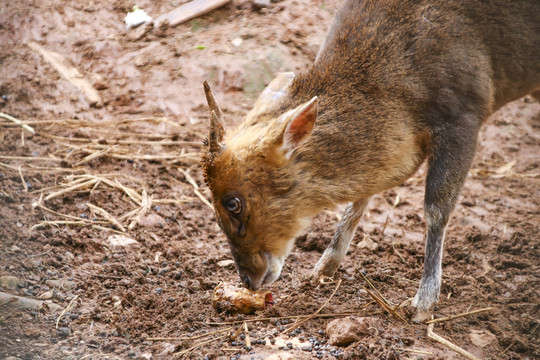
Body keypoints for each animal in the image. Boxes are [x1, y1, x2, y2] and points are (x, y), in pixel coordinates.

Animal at [200, 0, 536, 322]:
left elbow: (437, 208)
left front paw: (423, 304)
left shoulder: (463, 113)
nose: (248, 279)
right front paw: (322, 268)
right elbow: (362, 196)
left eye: (233, 202)